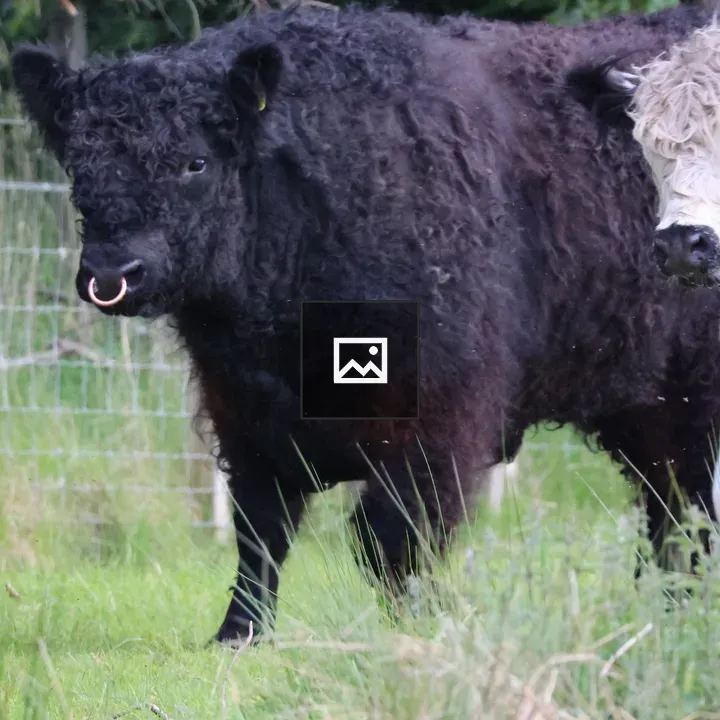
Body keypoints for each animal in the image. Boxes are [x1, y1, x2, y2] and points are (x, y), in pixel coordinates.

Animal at [11, 3, 720, 646]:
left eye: (195, 163)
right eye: (79, 164)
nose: (112, 272)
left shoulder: (438, 416)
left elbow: (389, 534)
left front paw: (422, 630)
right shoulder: (240, 412)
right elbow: (259, 530)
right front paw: (239, 634)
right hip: (649, 407)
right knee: (672, 509)